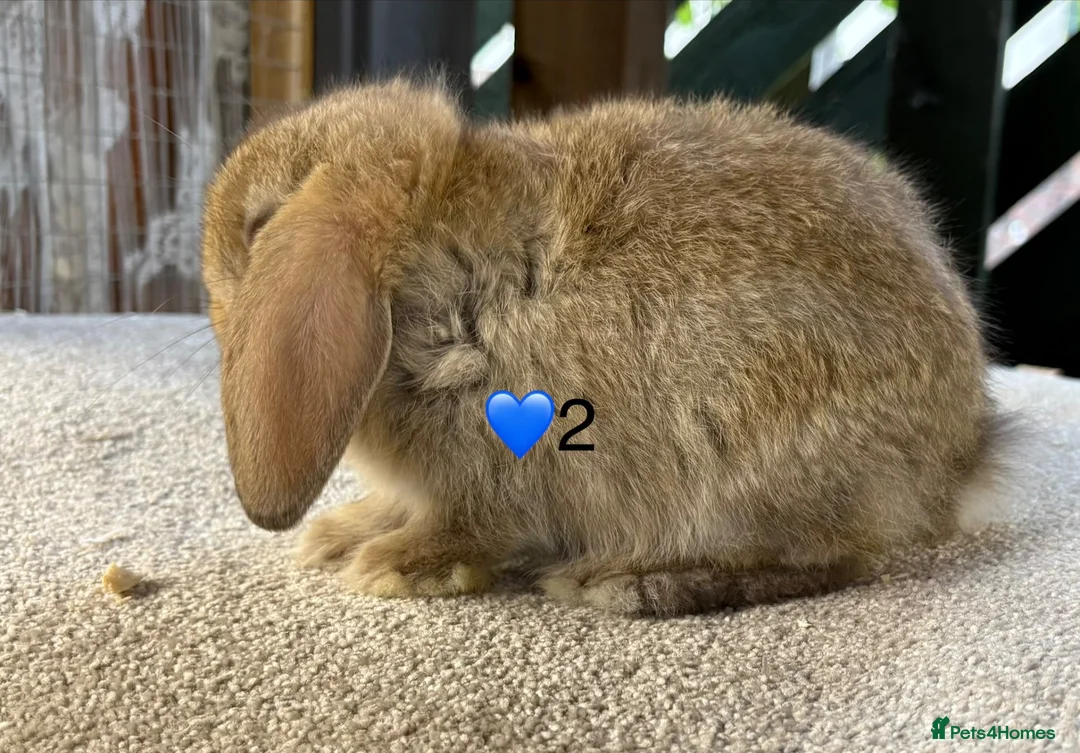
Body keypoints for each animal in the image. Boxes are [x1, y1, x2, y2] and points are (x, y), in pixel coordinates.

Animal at [200, 76, 1016, 617]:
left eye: (258, 228)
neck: (444, 278)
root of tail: (962, 458)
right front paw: (340, 536)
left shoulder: (494, 469)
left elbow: (467, 527)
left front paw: (395, 567)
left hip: (754, 465)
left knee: (835, 560)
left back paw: (625, 580)